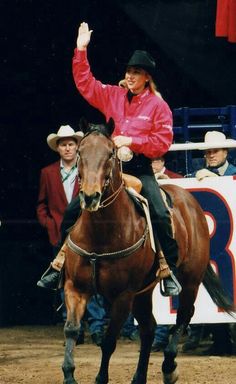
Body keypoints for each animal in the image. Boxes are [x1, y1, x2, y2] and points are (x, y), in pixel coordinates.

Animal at [61, 118, 234, 382]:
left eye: (111, 153)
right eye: (80, 152)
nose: (90, 196)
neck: (101, 233)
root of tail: (189, 200)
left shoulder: (123, 296)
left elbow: (109, 341)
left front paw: (101, 378)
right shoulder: (76, 287)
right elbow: (71, 329)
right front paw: (69, 374)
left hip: (189, 281)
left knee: (184, 315)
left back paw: (169, 367)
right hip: (143, 292)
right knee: (149, 328)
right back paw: (140, 376)